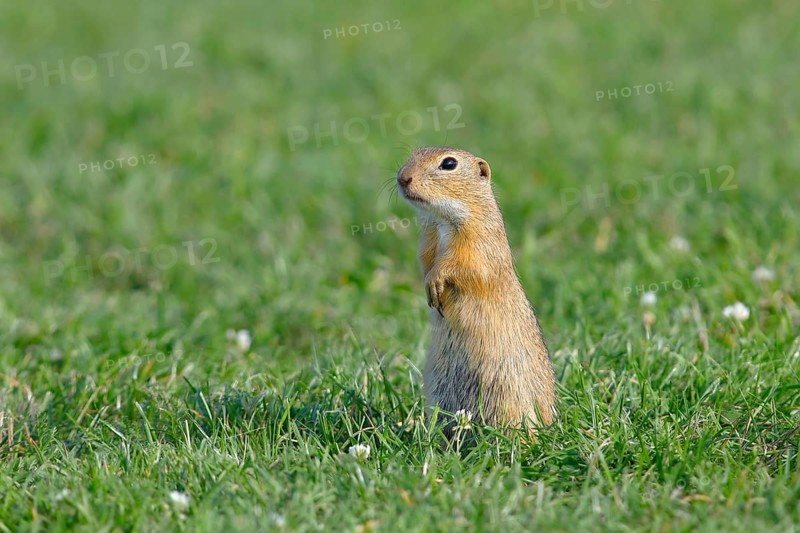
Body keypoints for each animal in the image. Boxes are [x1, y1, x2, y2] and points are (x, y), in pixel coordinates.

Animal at [397, 147, 556, 436]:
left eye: (449, 163)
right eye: (414, 153)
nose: (403, 178)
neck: (442, 222)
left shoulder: (479, 242)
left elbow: (464, 266)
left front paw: (435, 282)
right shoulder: (428, 242)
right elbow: (425, 263)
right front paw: (429, 288)